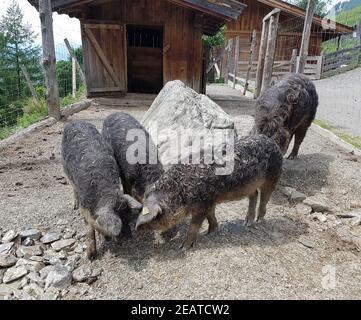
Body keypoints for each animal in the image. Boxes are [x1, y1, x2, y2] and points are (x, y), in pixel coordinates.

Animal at [61, 121, 141, 258]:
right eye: (119, 220)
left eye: (128, 216)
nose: (129, 238)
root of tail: (75, 122)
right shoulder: (85, 206)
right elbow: (89, 229)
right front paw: (91, 257)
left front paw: (105, 238)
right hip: (65, 168)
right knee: (72, 186)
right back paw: (74, 206)